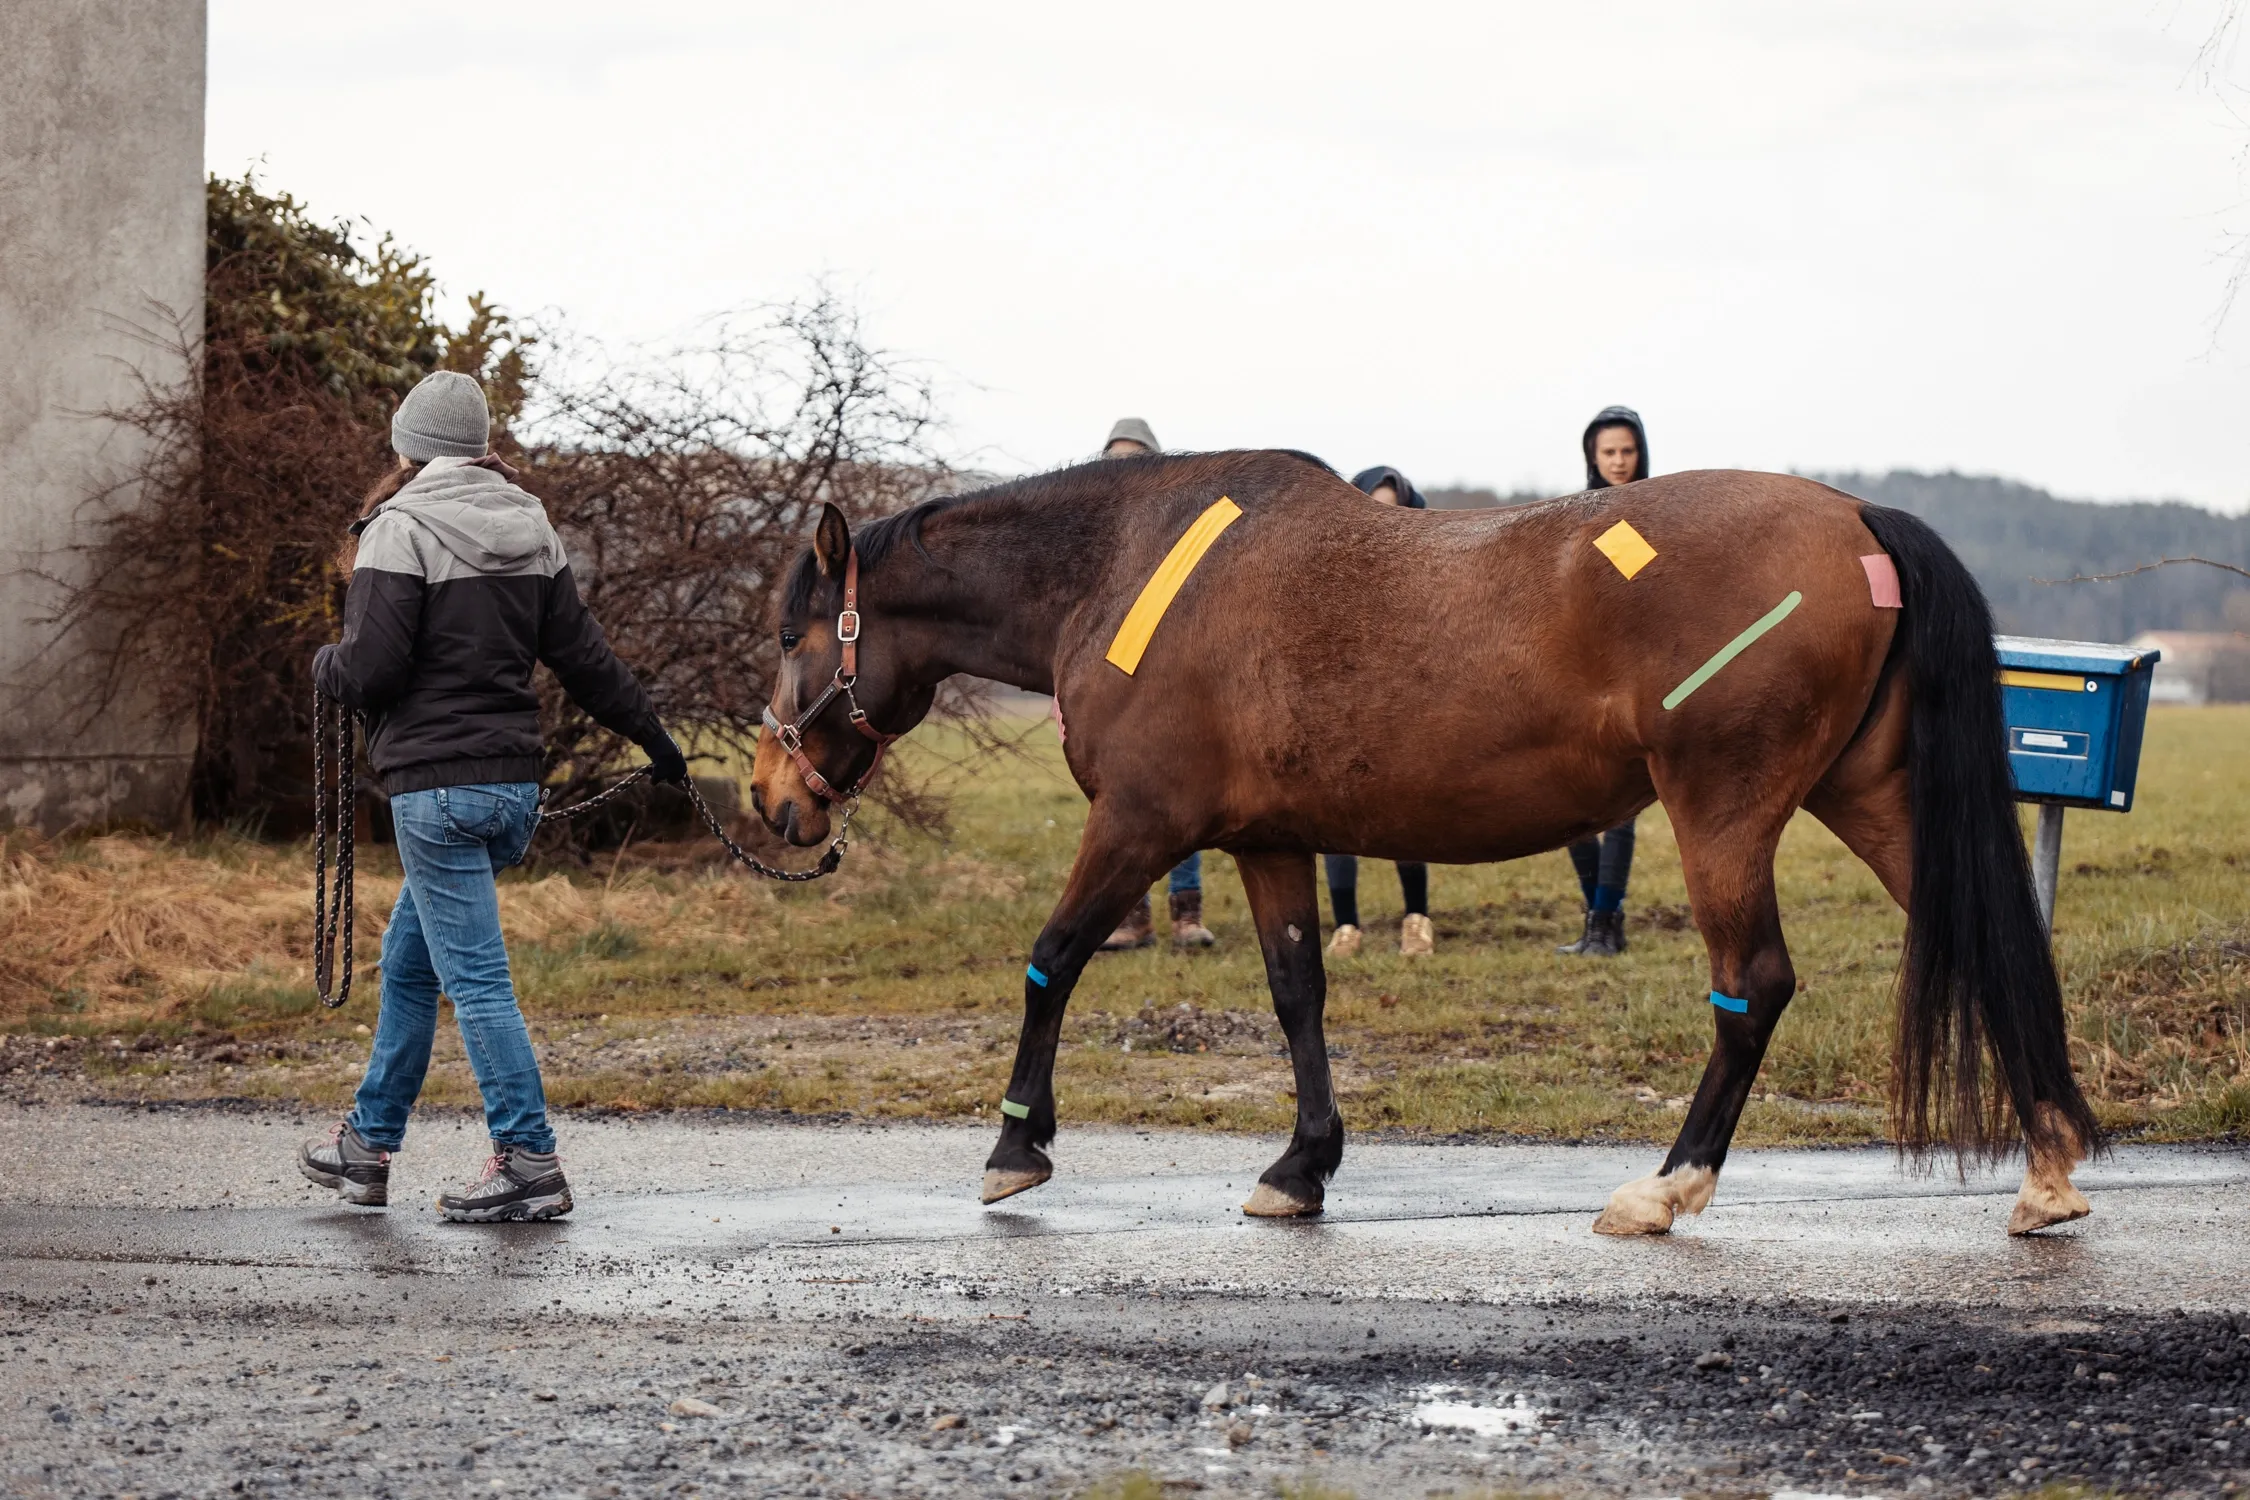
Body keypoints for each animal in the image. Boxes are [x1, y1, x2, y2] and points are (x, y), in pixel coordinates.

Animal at [749, 451, 2099, 1238]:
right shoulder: (1270, 842)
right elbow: (1297, 990)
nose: (772, 801)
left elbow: (1055, 957)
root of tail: (1859, 512)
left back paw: (1667, 1186)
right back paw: (2047, 1168)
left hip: (1724, 811)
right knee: (1995, 948)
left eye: (791, 635)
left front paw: (1017, 1142)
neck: (1123, 569)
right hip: (1867, 800)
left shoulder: (1140, 823)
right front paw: (1303, 1165)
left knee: (1754, 987)